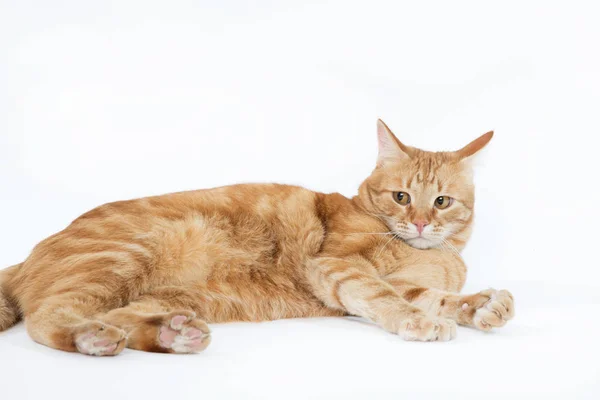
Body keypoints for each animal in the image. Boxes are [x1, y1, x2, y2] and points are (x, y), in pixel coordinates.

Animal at [0, 120, 512, 354]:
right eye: (402, 197)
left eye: (441, 202)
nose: (422, 223)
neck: (433, 253)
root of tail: (26, 256)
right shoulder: (337, 266)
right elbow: (385, 296)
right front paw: (419, 321)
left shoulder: (401, 282)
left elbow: (434, 296)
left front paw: (481, 305)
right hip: (121, 258)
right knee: (49, 319)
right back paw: (88, 336)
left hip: (163, 295)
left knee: (124, 317)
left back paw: (172, 333)